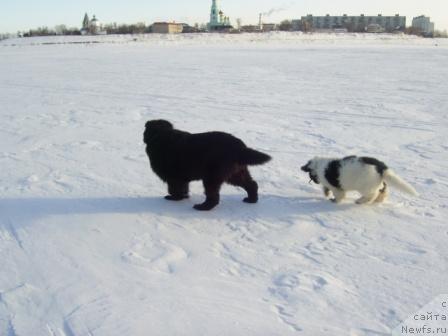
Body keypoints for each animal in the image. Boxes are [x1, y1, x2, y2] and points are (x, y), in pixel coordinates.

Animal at [144, 120, 272, 210]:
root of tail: (239, 147)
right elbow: (183, 188)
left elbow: (175, 189)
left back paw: (202, 207)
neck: (161, 136)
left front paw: (174, 198)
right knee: (252, 184)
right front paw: (183, 197)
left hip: (212, 177)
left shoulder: (174, 177)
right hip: (236, 173)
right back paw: (252, 200)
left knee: (213, 197)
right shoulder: (182, 178)